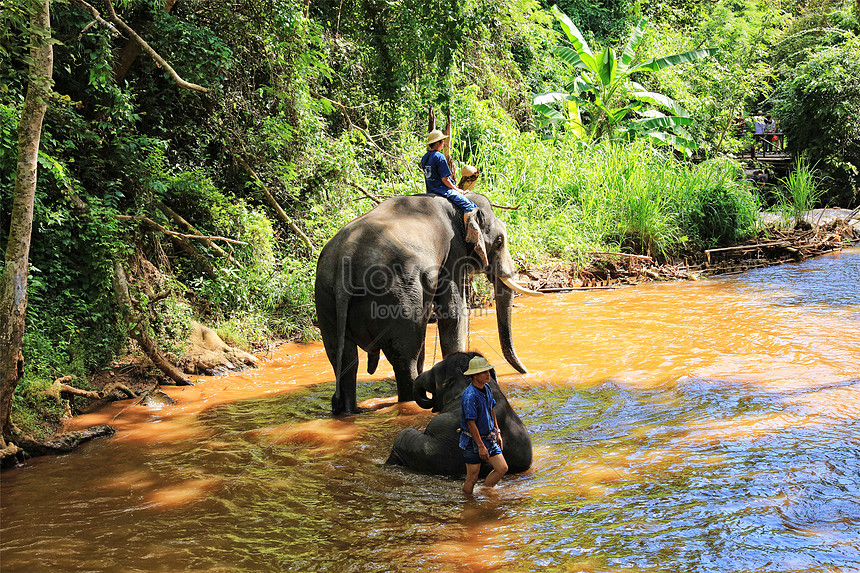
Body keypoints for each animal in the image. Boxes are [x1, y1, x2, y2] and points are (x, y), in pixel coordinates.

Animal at [316, 192, 540, 416]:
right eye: (500, 241)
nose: (526, 372)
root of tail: (346, 260)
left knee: (344, 358)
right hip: (395, 296)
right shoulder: (453, 252)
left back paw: (350, 411)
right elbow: (453, 312)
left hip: (326, 299)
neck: (459, 207)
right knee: (405, 356)